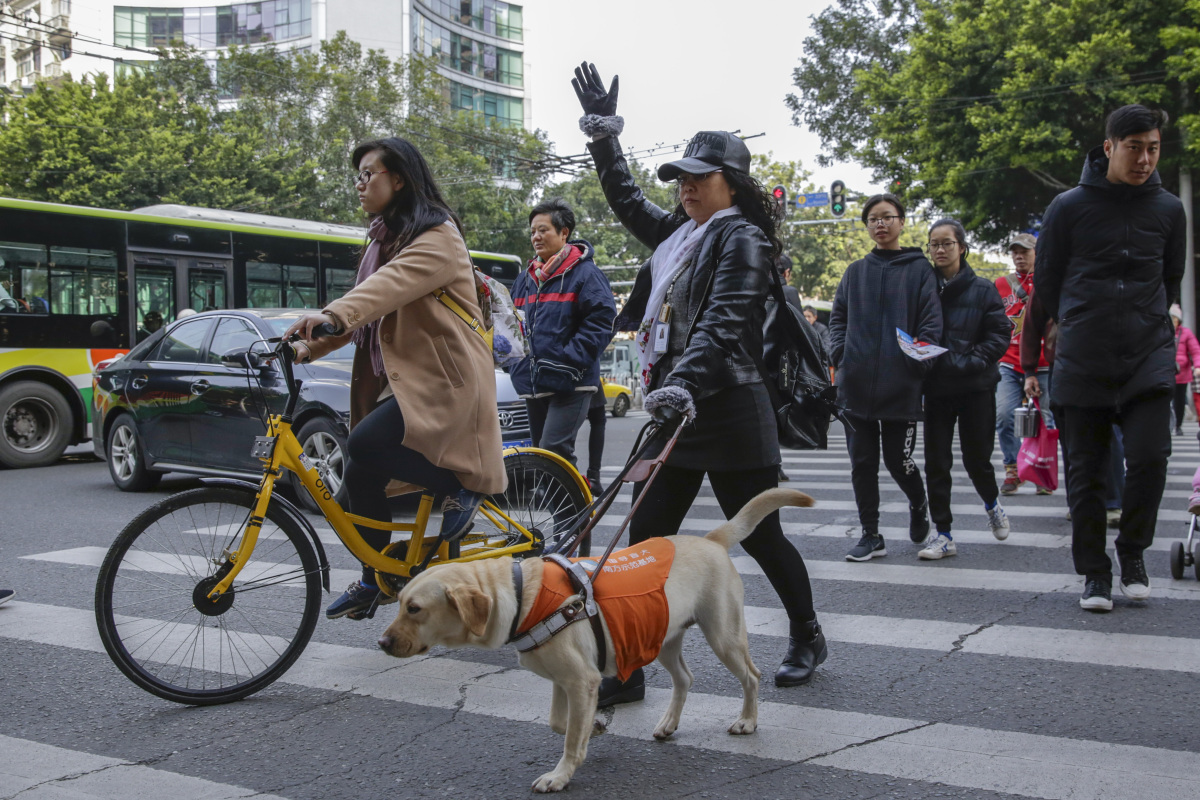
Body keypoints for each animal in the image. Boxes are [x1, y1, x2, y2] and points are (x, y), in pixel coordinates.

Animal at [379, 484, 816, 791]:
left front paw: (560, 775)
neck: (522, 597)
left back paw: (747, 721)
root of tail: (709, 540)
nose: (382, 644)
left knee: (751, 676)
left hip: (723, 634)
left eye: (414, 608)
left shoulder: (581, 680)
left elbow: (569, 737)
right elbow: (560, 722)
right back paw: (668, 723)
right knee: (685, 678)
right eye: (397, 602)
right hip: (662, 635)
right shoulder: (568, 679)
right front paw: (596, 728)